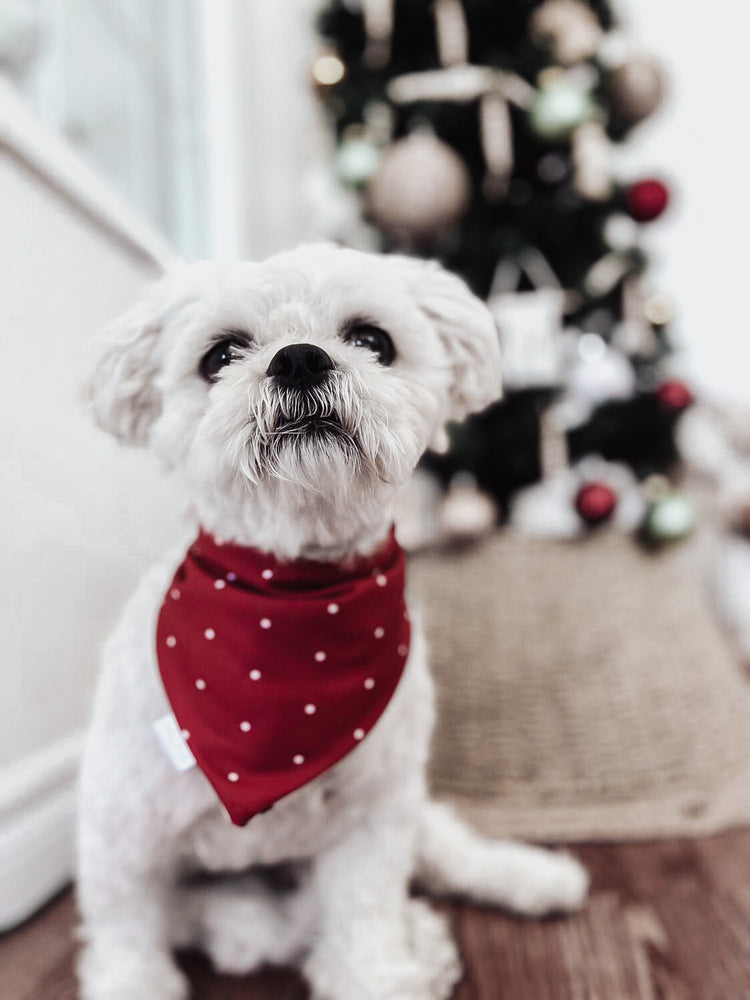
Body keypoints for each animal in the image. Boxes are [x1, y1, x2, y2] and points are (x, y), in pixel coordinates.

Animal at [78, 244, 592, 1000]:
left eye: (373, 340)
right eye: (219, 354)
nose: (298, 359)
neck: (295, 603)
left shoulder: (372, 820)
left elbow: (364, 916)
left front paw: (378, 975)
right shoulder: (121, 831)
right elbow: (126, 943)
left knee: (443, 847)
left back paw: (533, 878)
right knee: (263, 926)